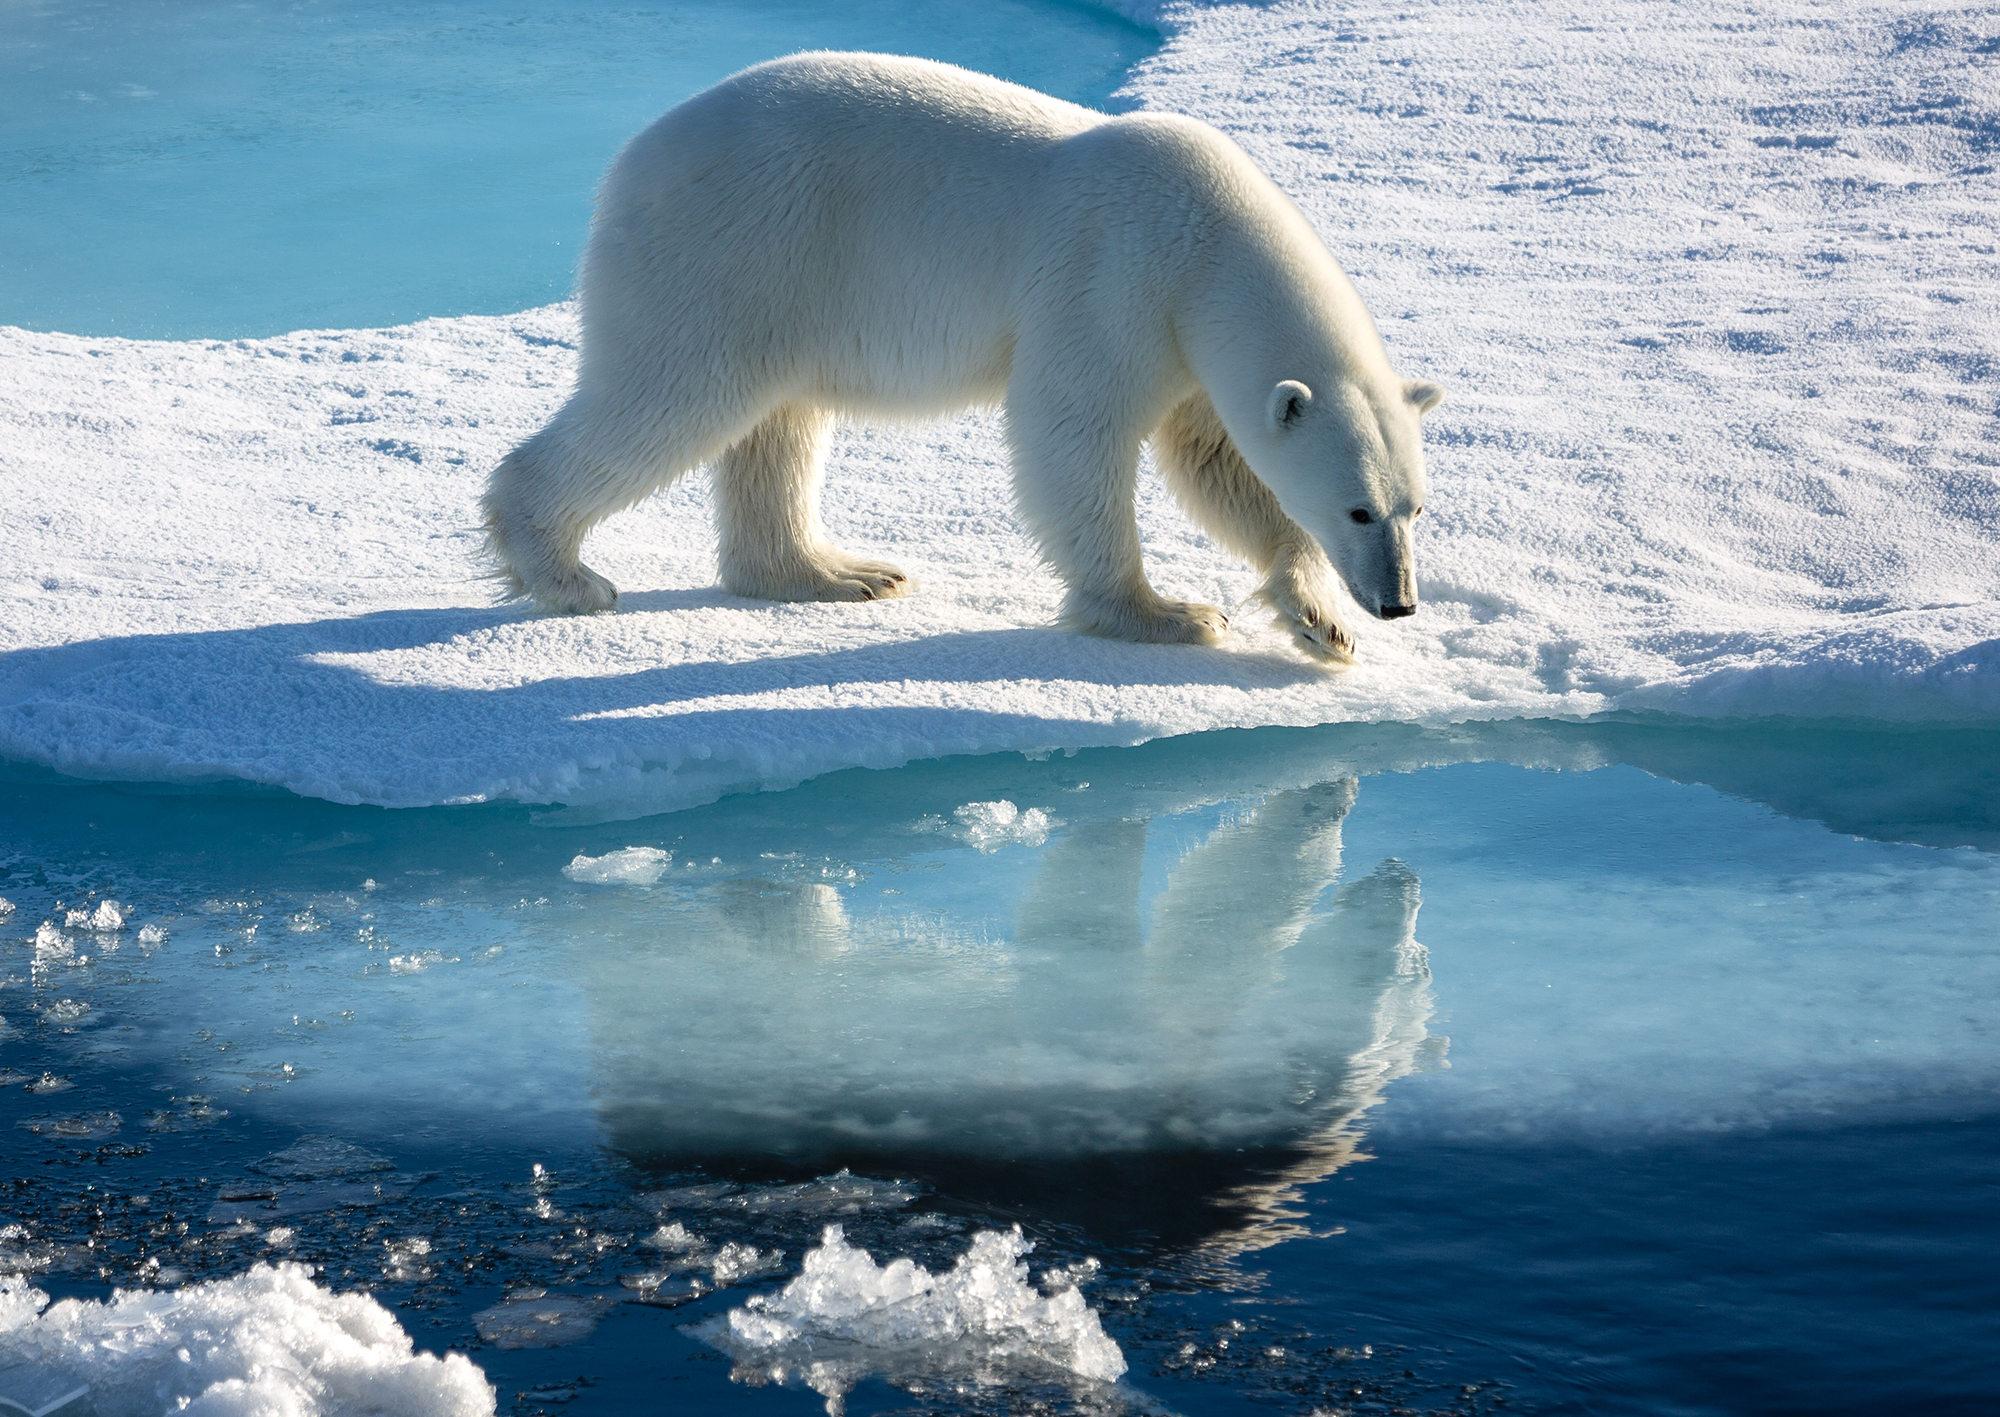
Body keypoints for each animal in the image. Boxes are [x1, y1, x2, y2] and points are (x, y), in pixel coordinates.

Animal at [484, 49, 1440, 660]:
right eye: (1359, 510)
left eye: (1414, 508)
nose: (1397, 604)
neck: (1209, 240)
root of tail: (632, 161)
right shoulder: (1116, 282)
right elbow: (1071, 432)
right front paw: (1169, 615)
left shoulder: (1190, 346)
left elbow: (1217, 462)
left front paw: (1320, 621)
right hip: (736, 248)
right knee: (672, 394)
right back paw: (565, 574)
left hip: (785, 285)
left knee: (778, 423)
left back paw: (841, 572)